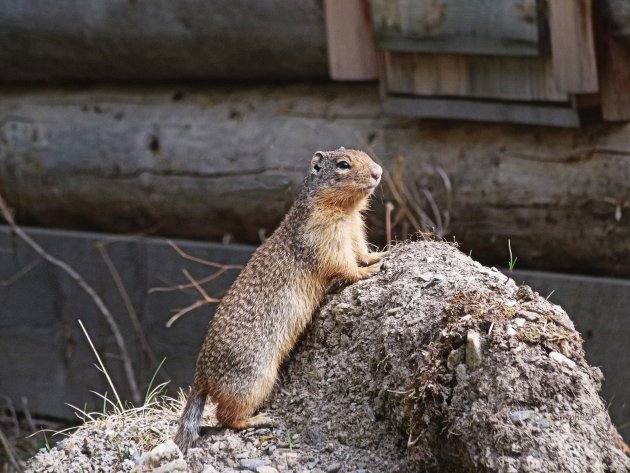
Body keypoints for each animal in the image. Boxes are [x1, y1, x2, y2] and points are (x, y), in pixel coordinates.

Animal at [175, 146, 388, 452]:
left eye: (366, 154)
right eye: (343, 165)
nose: (378, 172)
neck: (344, 212)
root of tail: (201, 379)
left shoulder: (354, 231)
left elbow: (361, 250)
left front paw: (380, 254)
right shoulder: (325, 237)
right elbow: (343, 264)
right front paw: (368, 271)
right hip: (254, 379)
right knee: (224, 416)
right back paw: (258, 420)